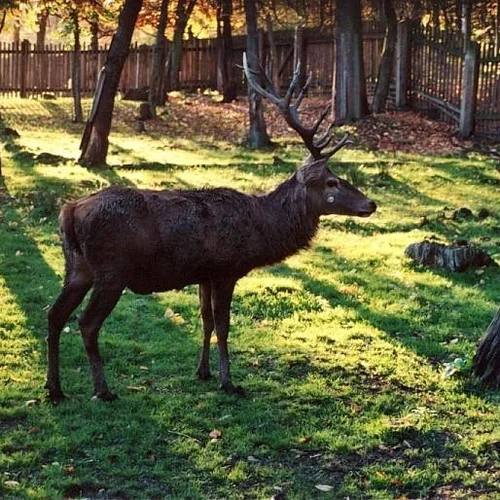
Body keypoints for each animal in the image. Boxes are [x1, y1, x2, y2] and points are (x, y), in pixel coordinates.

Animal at [46, 55, 376, 402]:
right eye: (331, 182)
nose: (370, 204)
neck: (262, 231)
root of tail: (69, 212)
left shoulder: (203, 274)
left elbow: (205, 322)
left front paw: (202, 371)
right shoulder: (225, 270)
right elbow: (223, 326)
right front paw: (228, 381)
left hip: (78, 267)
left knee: (54, 314)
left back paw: (54, 389)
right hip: (111, 270)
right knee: (86, 322)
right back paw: (102, 389)